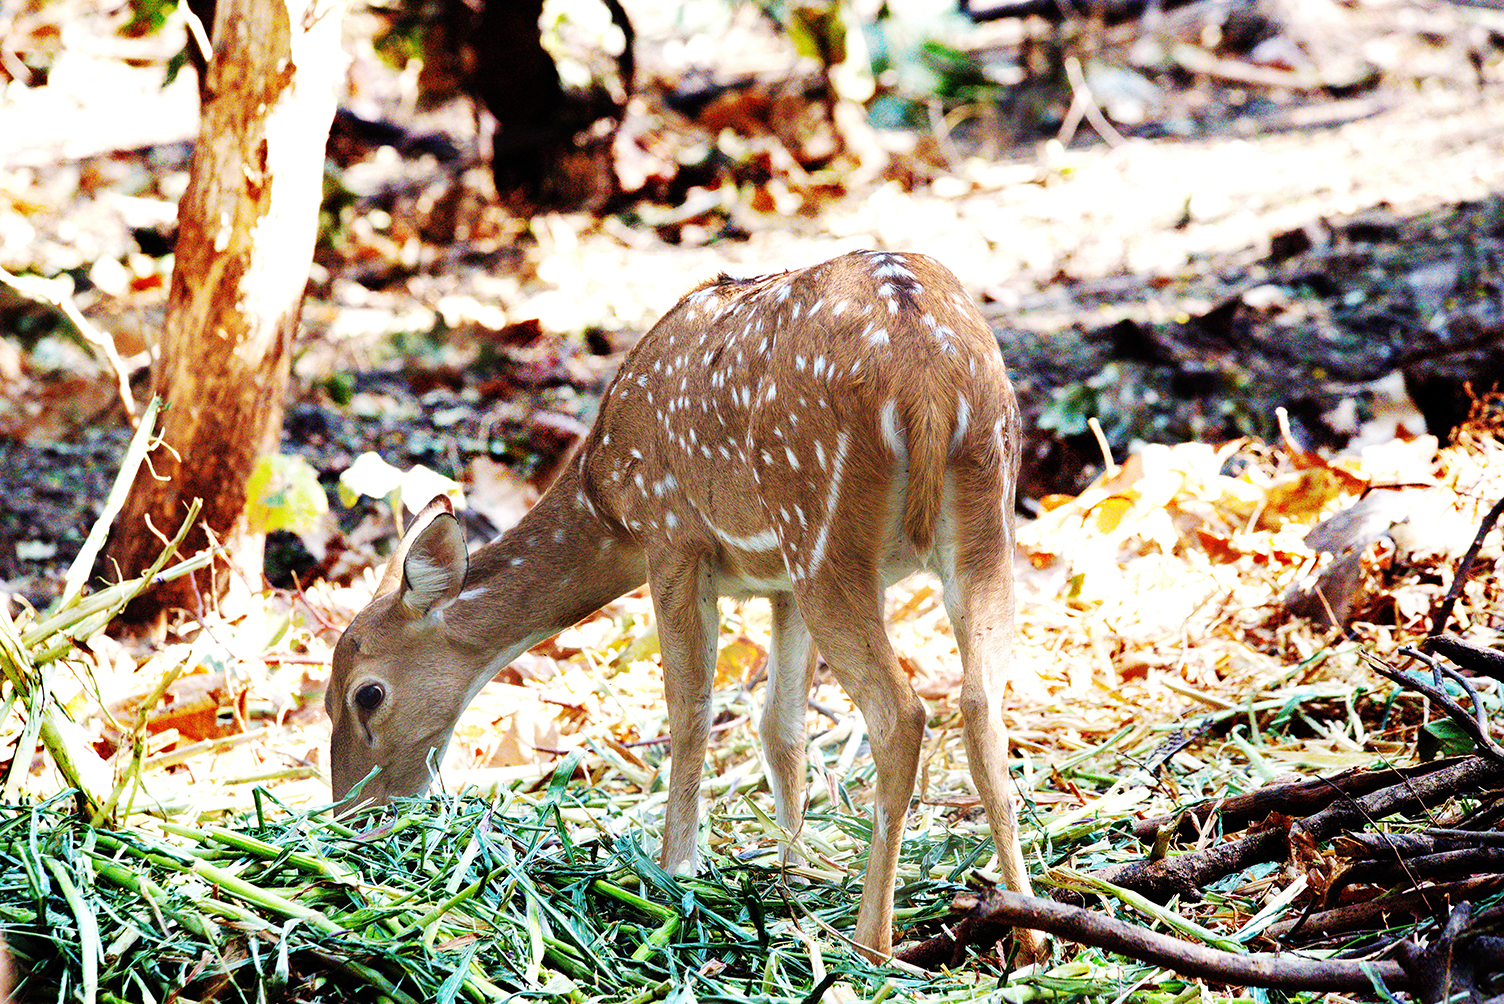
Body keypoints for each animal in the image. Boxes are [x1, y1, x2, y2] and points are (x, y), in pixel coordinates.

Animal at [325, 249, 1045, 962]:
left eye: (367, 694)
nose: (352, 815)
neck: (605, 500)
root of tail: (927, 380)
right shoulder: (778, 583)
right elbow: (780, 729)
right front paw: (792, 877)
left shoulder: (672, 537)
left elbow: (691, 710)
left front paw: (677, 869)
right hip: (980, 516)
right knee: (982, 704)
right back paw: (1027, 930)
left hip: (823, 527)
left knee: (902, 714)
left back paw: (872, 946)